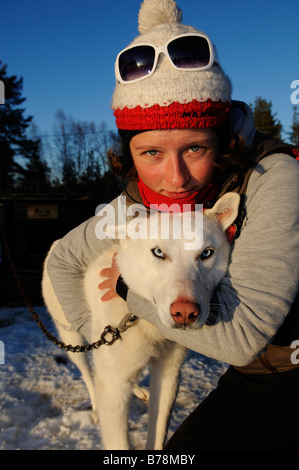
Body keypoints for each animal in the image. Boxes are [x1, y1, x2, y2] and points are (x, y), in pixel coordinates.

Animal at [42, 193, 240, 450]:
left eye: (206, 253)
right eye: (158, 252)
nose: (185, 312)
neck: (144, 321)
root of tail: (56, 243)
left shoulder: (168, 372)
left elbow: (157, 431)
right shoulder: (113, 387)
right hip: (72, 339)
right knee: (88, 374)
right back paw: (95, 408)